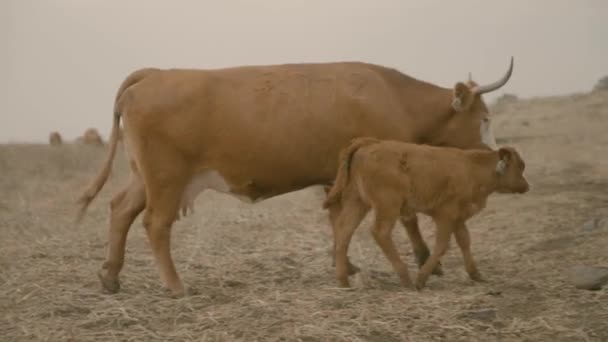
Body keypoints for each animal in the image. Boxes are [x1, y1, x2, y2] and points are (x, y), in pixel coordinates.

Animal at [324, 136, 528, 288]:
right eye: (520, 166)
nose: (526, 186)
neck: (472, 168)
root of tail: (370, 144)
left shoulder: (458, 218)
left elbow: (464, 241)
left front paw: (476, 274)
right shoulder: (445, 216)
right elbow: (442, 245)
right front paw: (421, 278)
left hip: (358, 202)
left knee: (344, 230)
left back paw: (343, 280)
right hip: (387, 206)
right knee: (380, 233)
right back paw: (405, 278)